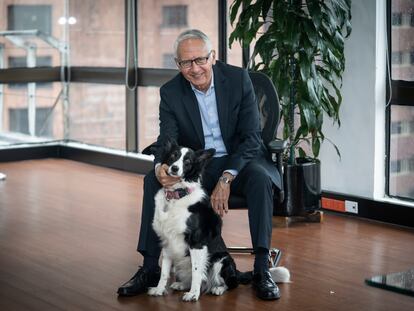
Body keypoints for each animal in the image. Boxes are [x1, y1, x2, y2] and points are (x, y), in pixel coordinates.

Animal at [148, 142, 288, 302]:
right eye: (173, 156)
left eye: (187, 161)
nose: (175, 168)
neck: (177, 196)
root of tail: (236, 271)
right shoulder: (167, 242)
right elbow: (164, 273)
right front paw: (159, 290)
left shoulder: (197, 243)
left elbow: (197, 272)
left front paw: (193, 294)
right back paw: (182, 284)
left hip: (221, 260)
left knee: (231, 283)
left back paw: (217, 288)